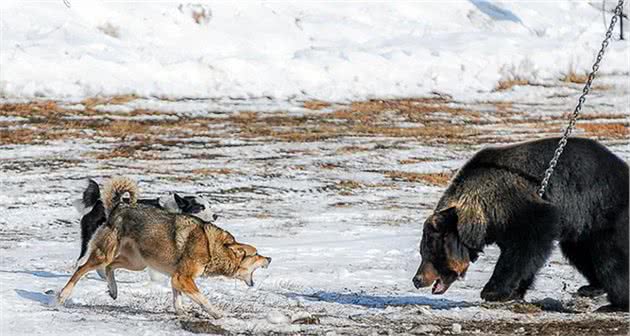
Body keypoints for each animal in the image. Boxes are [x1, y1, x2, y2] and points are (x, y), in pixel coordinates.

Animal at [73, 180, 217, 264]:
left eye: (209, 206)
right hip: (91, 237)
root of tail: (97, 202)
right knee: (81, 258)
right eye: (200, 207)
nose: (215, 215)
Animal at [412, 137, 628, 312]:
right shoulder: (500, 225)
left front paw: (492, 291)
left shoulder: (518, 204)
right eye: (423, 252)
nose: (417, 280)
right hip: (583, 226)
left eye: (432, 253)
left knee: (609, 258)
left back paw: (615, 303)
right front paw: (514, 291)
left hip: (603, 210)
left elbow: (526, 245)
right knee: (580, 253)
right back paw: (592, 287)